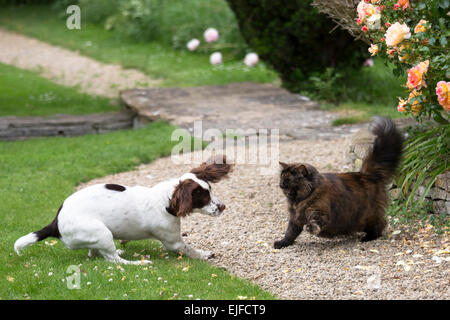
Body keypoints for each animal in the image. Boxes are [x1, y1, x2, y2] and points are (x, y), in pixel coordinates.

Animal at [14, 156, 232, 264]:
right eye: (203, 196)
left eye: (210, 190)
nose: (223, 207)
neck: (165, 200)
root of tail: (55, 223)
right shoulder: (173, 242)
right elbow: (189, 249)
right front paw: (204, 254)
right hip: (101, 232)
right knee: (114, 260)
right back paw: (138, 263)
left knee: (97, 254)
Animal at [274, 117, 404, 248]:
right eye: (281, 178)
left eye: (288, 180)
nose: (280, 185)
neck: (299, 200)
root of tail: (367, 174)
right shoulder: (295, 218)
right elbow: (290, 233)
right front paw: (282, 243)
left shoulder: (319, 211)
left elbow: (314, 222)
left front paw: (311, 228)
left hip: (367, 216)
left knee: (380, 224)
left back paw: (367, 238)